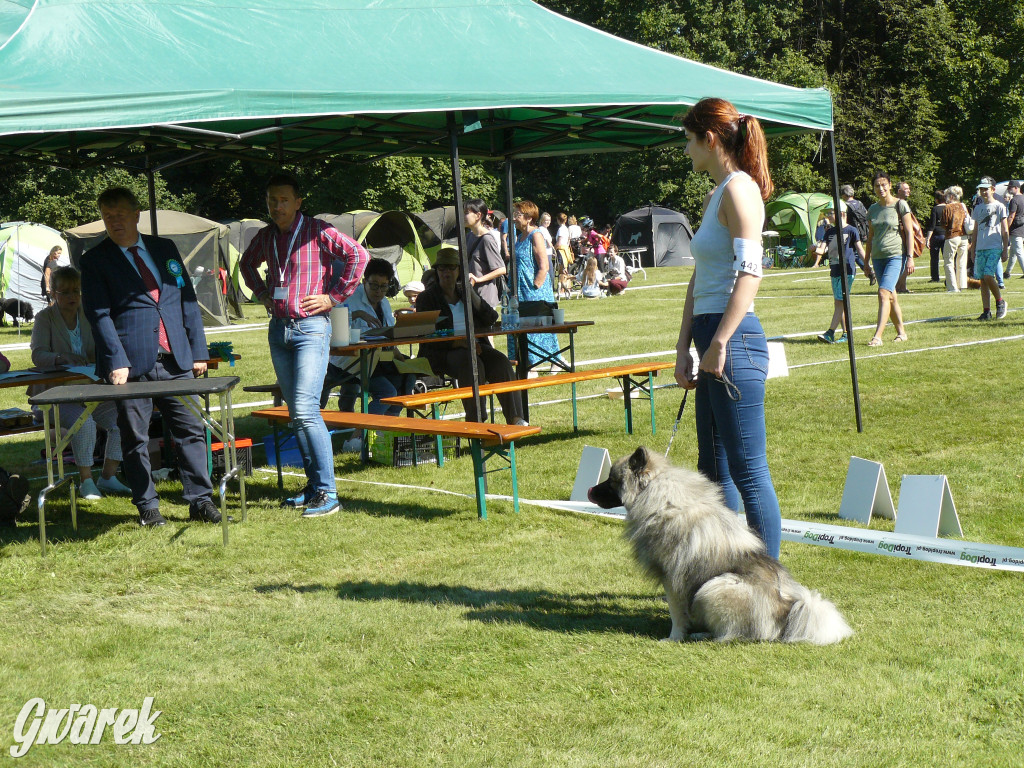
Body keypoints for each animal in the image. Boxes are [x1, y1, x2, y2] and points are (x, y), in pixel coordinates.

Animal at [589, 448, 851, 647]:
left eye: (612, 481)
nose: (590, 490)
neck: (660, 499)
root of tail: (785, 611)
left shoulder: (673, 578)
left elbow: (677, 614)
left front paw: (674, 638)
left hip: (713, 587)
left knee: (729, 635)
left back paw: (701, 634)